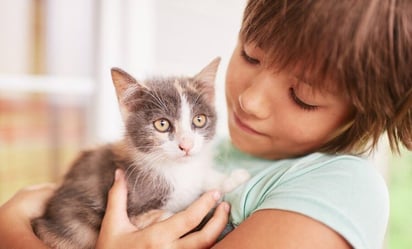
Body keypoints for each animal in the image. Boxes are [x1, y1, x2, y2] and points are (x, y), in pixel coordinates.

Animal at [32, 57, 249, 249]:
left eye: (199, 120)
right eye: (162, 124)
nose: (186, 145)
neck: (175, 170)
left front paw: (233, 178)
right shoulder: (137, 211)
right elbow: (174, 219)